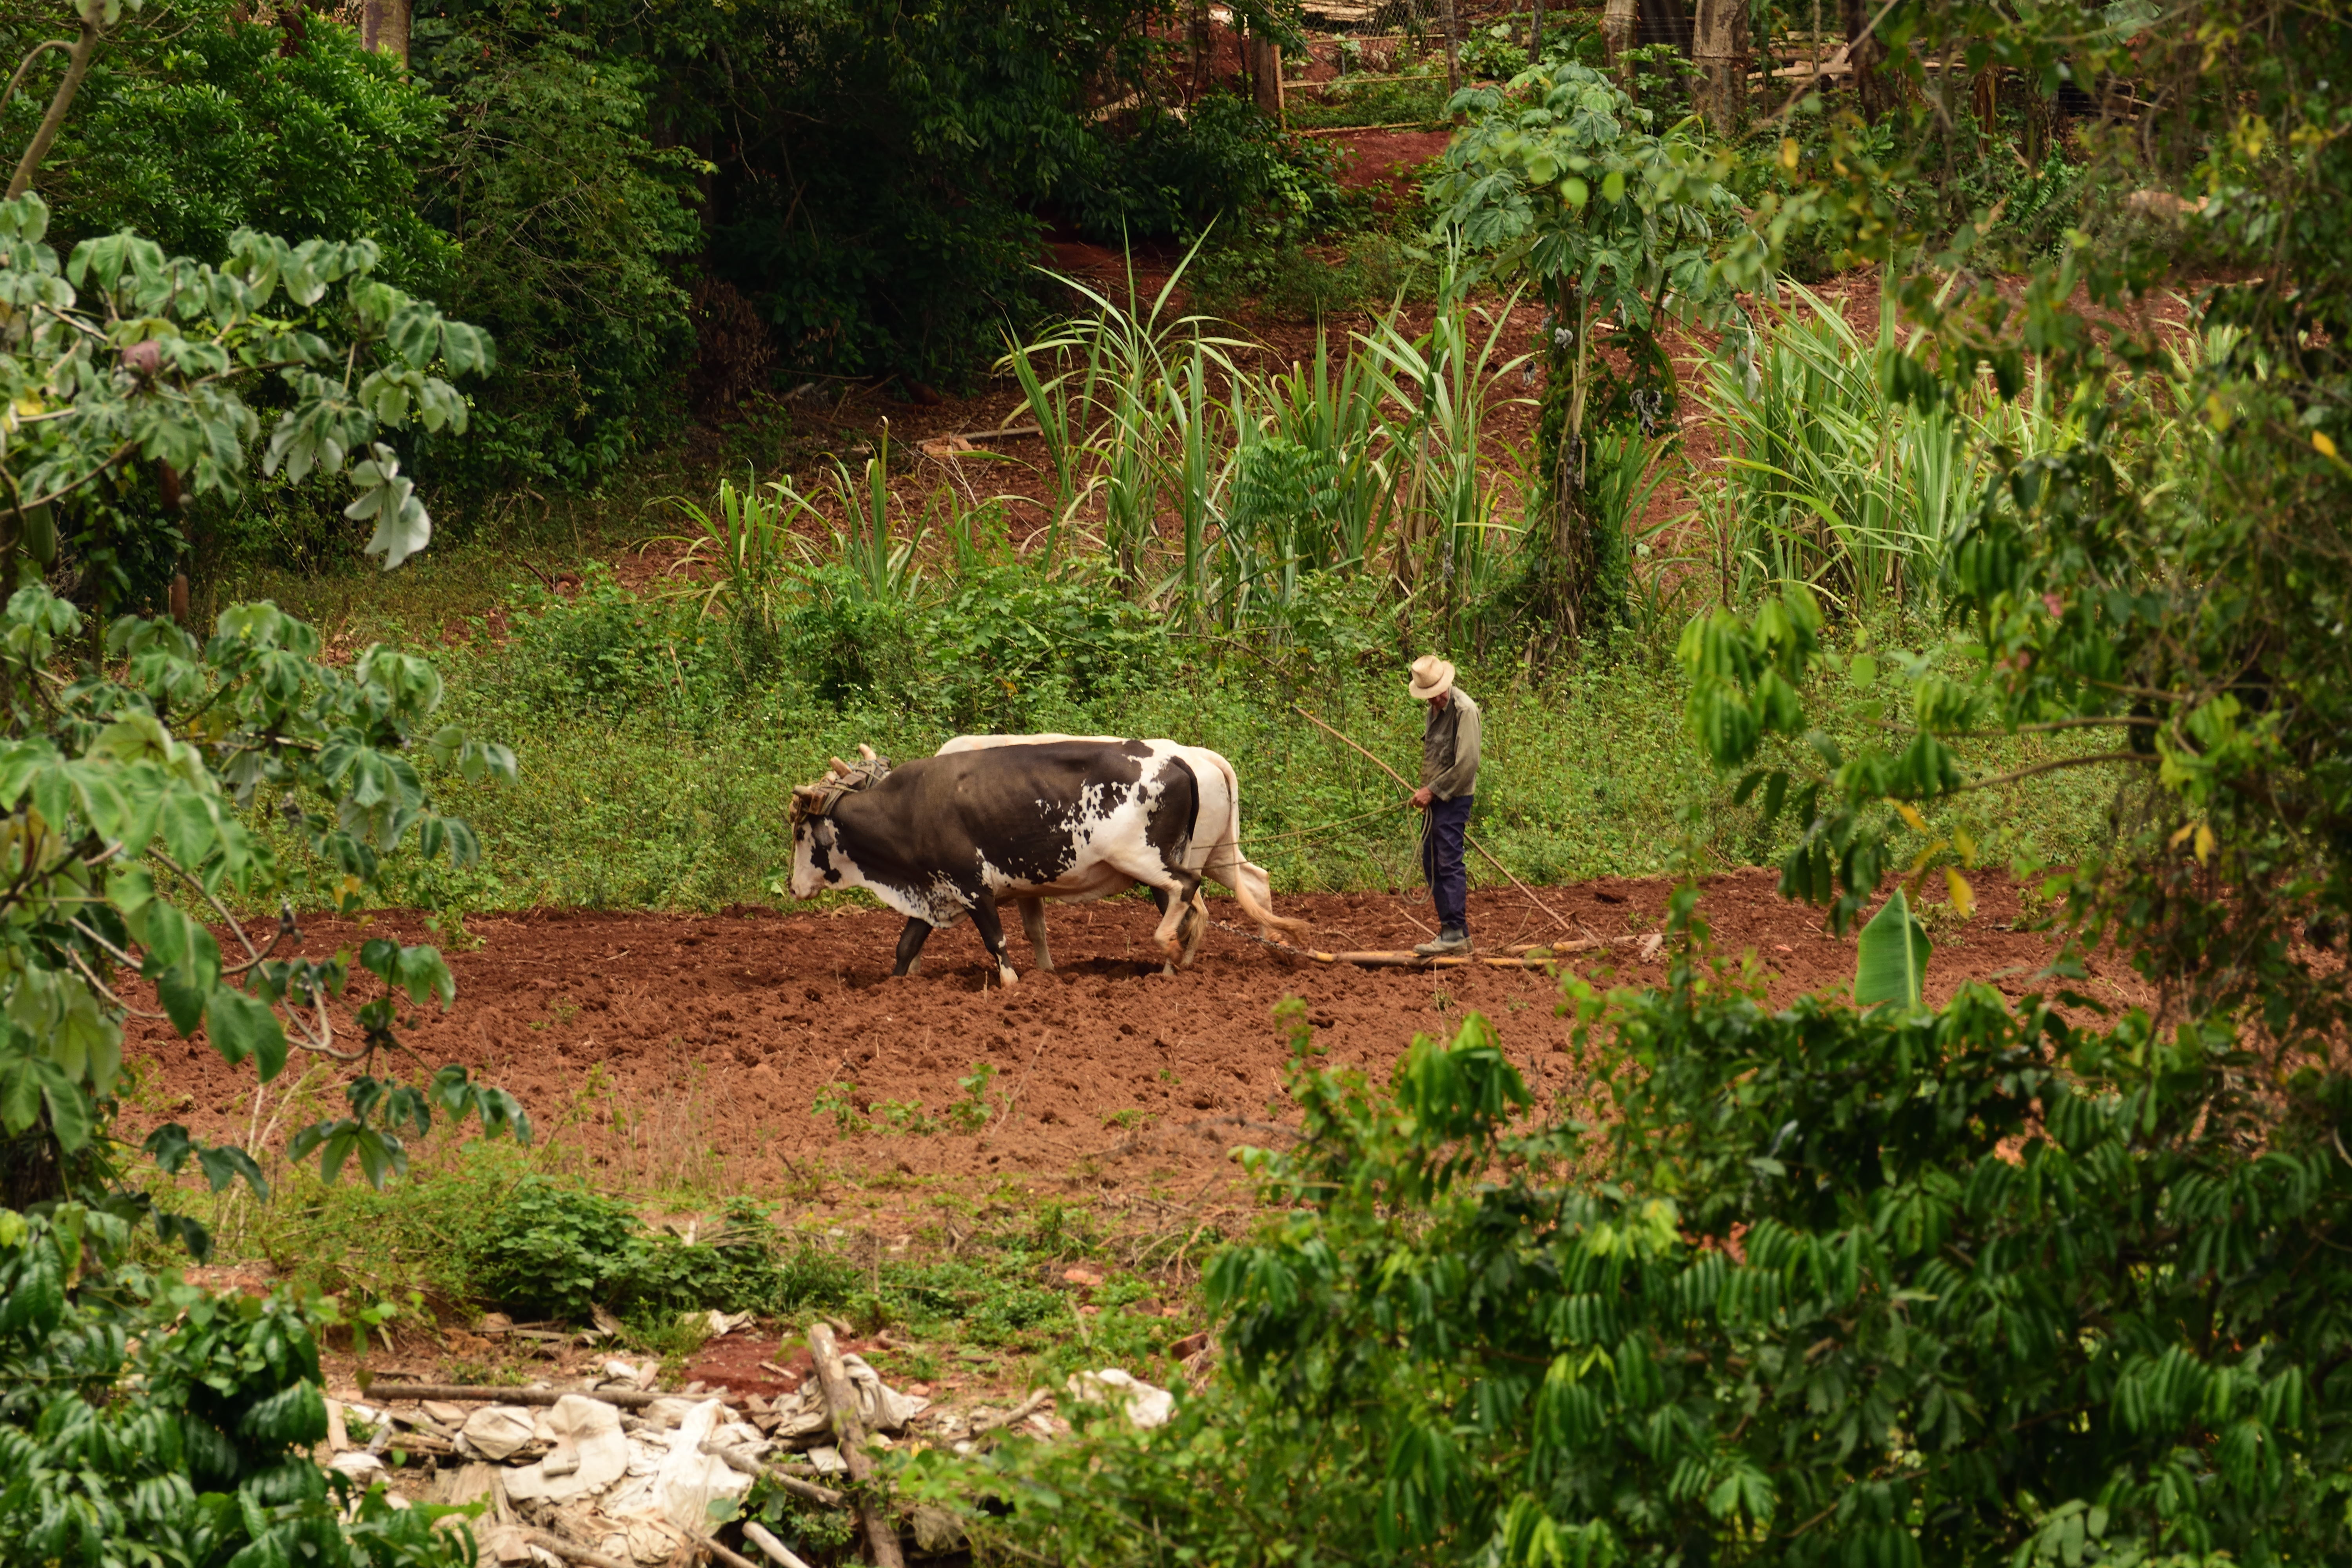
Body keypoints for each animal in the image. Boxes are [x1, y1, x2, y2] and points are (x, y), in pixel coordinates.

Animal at [786, 737, 1304, 986]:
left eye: (799, 831)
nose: (793, 887)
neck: (910, 807)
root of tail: (1179, 759)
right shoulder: (939, 890)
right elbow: (905, 947)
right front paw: (894, 988)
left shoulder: (973, 887)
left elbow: (996, 941)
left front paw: (1013, 983)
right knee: (1198, 904)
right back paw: (1174, 966)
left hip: (1145, 859)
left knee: (1188, 890)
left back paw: (1171, 953)